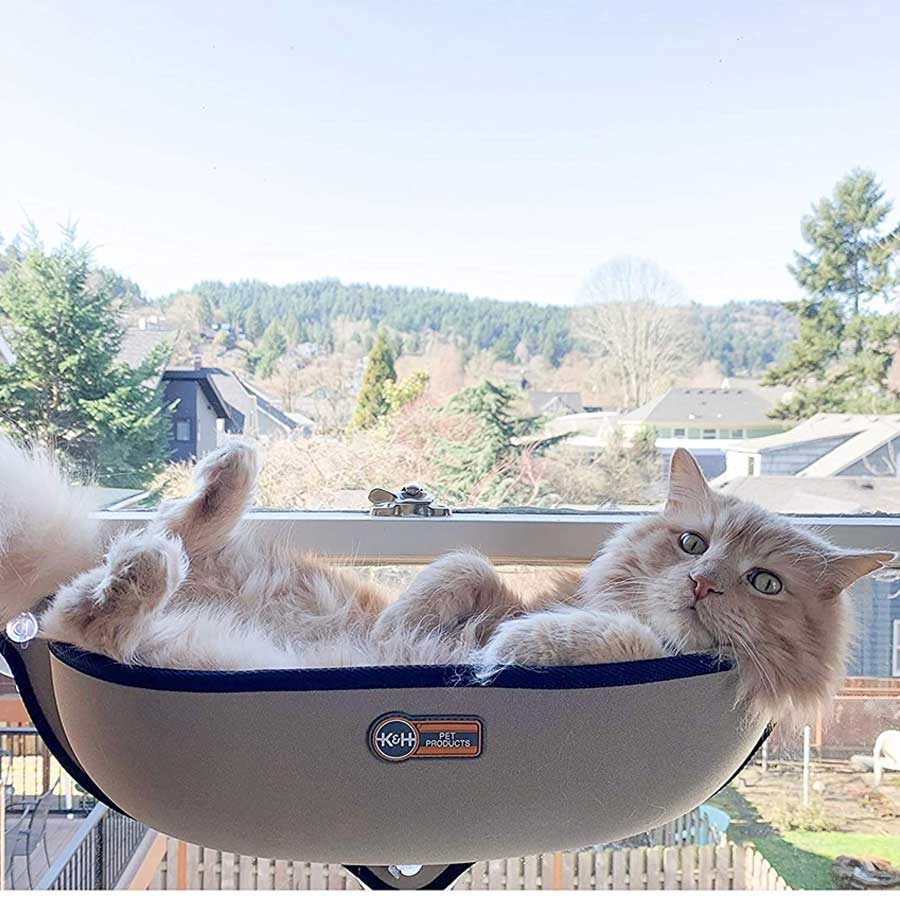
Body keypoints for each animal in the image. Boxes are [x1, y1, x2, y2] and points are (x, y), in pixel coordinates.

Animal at [0, 436, 888, 724]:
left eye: (764, 583)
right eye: (692, 542)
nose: (704, 584)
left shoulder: (664, 651)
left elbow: (598, 633)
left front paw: (505, 652)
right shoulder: (491, 581)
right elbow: (459, 568)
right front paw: (400, 636)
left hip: (151, 637)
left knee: (97, 609)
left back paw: (146, 568)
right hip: (213, 568)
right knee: (158, 540)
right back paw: (226, 474)